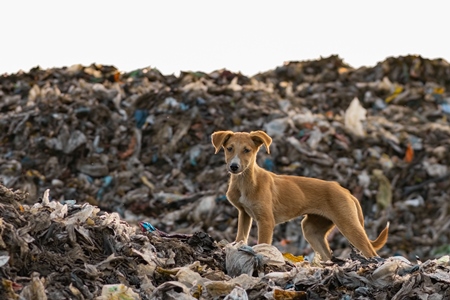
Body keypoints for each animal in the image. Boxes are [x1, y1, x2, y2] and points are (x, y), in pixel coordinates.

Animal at [213, 130, 388, 258]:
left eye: (247, 150)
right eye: (229, 148)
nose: (234, 166)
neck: (246, 181)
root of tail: (346, 191)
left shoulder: (266, 221)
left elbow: (263, 244)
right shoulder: (244, 213)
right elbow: (240, 237)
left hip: (348, 224)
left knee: (370, 252)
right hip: (312, 229)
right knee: (328, 255)